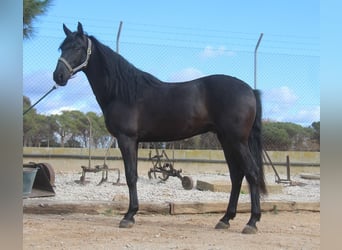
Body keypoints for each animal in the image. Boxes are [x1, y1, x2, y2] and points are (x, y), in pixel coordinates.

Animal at [54, 22, 268, 233]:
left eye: (78, 48)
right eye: (62, 47)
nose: (58, 76)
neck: (123, 92)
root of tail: (250, 90)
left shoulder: (127, 139)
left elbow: (130, 176)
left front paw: (129, 216)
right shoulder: (134, 141)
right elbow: (133, 175)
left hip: (236, 141)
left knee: (252, 173)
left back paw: (252, 222)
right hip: (226, 140)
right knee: (237, 176)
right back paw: (225, 219)